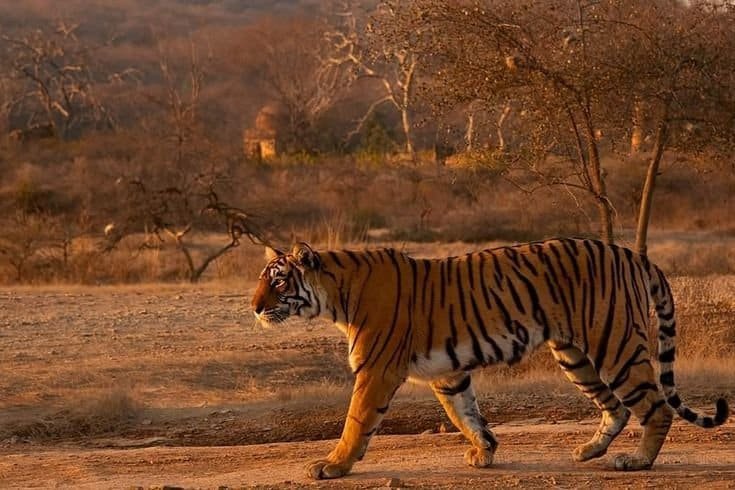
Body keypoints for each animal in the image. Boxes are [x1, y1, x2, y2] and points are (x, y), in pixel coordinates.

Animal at [251, 238, 729, 480]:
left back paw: (637, 461)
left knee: (655, 406)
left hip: (615, 345)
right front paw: (485, 453)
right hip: (575, 355)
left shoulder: (375, 370)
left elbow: (355, 421)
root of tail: (633, 253)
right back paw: (589, 450)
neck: (336, 297)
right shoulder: (448, 373)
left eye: (279, 282)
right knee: (616, 407)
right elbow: (465, 413)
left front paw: (333, 465)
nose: (254, 308)